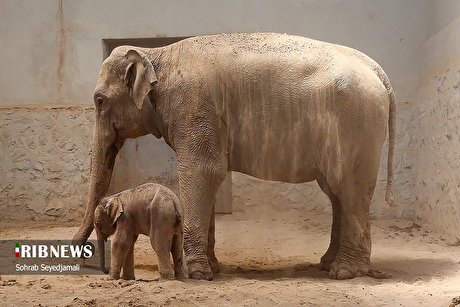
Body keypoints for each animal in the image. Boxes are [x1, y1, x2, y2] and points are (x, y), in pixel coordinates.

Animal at [73, 33, 396, 282]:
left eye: (99, 101)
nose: (79, 256)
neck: (158, 55)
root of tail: (378, 70)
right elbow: (209, 177)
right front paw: (211, 268)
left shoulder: (194, 108)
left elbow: (203, 171)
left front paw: (197, 275)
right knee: (337, 192)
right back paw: (327, 264)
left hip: (356, 126)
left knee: (349, 190)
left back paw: (345, 272)